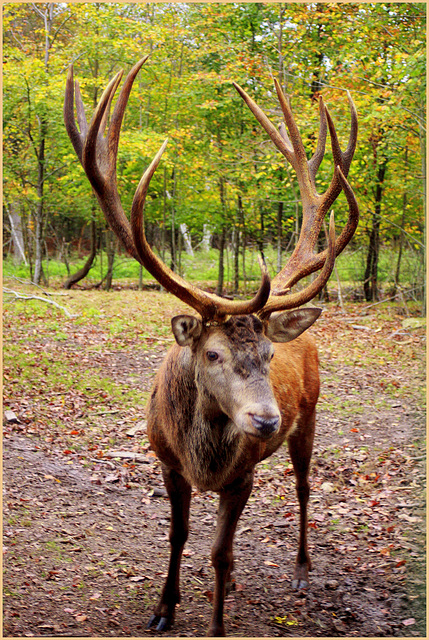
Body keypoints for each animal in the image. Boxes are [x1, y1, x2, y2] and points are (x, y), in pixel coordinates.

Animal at [63, 57, 358, 636]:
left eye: (269, 356)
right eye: (213, 353)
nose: (265, 420)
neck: (203, 462)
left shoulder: (241, 473)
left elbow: (219, 553)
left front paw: (216, 621)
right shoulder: (167, 463)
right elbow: (178, 536)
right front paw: (163, 609)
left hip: (311, 416)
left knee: (304, 486)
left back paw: (302, 570)